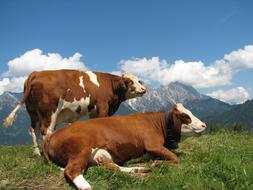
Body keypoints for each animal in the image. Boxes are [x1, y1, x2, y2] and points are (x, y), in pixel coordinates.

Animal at [2, 70, 146, 156]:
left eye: (139, 80)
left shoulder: (94, 112)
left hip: (33, 112)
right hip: (49, 112)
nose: (144, 89)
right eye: (130, 82)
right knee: (46, 131)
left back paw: (37, 153)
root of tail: (37, 73)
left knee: (33, 130)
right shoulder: (103, 106)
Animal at [42, 104, 207, 190]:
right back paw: (87, 186)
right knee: (72, 170)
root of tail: (52, 135)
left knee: (113, 166)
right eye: (185, 116)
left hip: (98, 157)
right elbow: (175, 157)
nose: (204, 125)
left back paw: (139, 170)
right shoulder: (153, 144)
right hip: (81, 148)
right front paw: (158, 163)